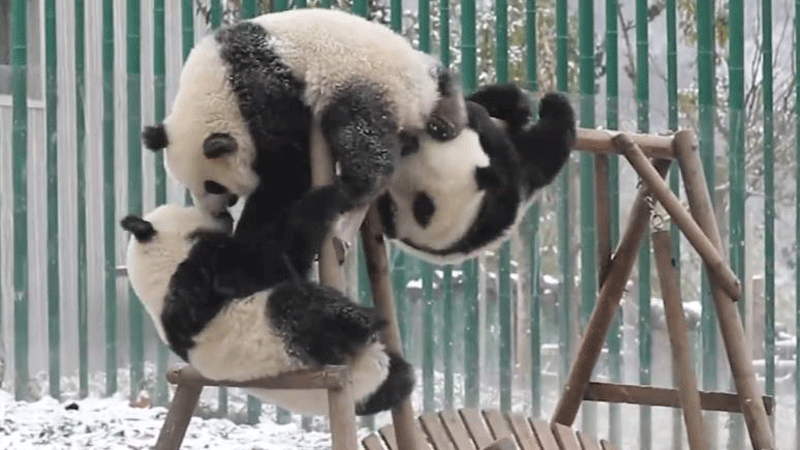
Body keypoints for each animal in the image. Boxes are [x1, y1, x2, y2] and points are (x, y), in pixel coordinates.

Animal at [122, 185, 418, 416]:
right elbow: (273, 257)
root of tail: (370, 367)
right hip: (288, 332)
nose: (224, 213)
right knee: (302, 306)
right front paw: (337, 192)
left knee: (395, 383)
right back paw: (368, 319)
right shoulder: (194, 276)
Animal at [143, 6, 466, 225]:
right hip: (415, 73)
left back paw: (352, 187)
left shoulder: (266, 94)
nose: (215, 212)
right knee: (440, 76)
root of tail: (419, 96)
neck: (220, 87)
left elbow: (289, 167)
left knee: (359, 133)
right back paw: (447, 119)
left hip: (362, 81)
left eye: (213, 185)